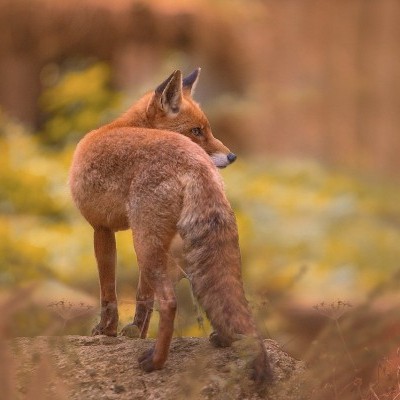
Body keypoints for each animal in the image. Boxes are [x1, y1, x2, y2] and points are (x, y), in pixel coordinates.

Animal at [69, 69, 272, 384]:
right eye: (197, 131)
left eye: (207, 129)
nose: (232, 156)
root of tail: (195, 164)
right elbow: (142, 298)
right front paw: (135, 334)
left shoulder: (101, 229)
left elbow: (108, 293)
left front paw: (107, 332)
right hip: (179, 248)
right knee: (227, 297)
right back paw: (226, 339)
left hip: (146, 243)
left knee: (169, 302)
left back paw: (156, 361)